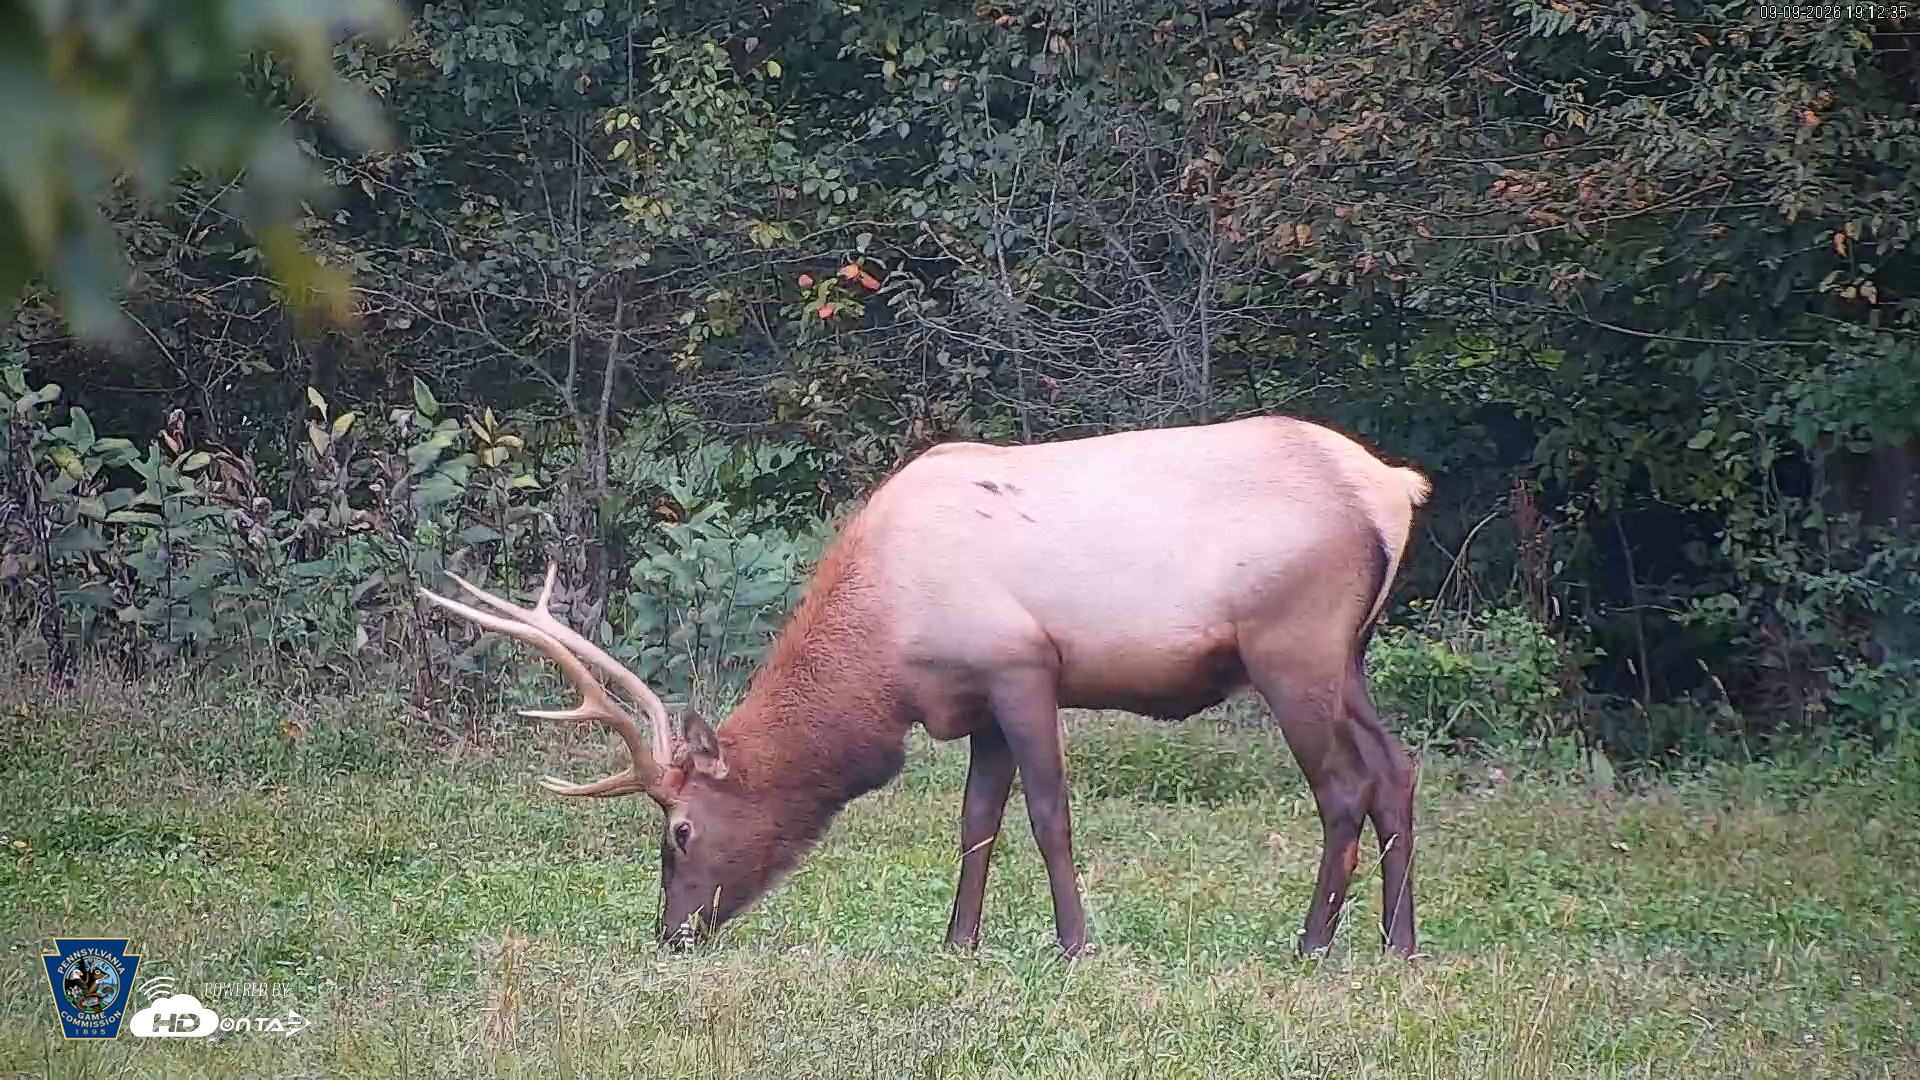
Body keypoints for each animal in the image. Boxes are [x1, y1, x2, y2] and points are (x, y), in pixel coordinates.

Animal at [420, 414, 1431, 958]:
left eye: (679, 831)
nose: (672, 933)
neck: (889, 651)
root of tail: (1394, 488)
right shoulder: (976, 702)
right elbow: (976, 821)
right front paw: (960, 942)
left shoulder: (1022, 666)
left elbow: (1047, 814)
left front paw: (1075, 943)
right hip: (1349, 655)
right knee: (1398, 769)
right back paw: (1399, 944)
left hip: (1292, 645)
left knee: (1343, 787)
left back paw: (1313, 942)